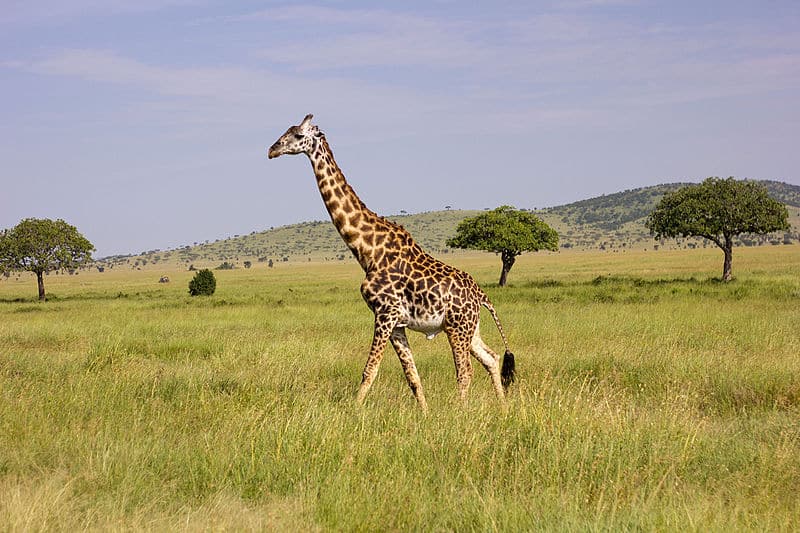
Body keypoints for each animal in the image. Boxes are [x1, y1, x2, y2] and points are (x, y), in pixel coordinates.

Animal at [268, 114, 515, 410]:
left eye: (296, 135)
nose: (271, 150)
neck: (367, 251)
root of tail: (481, 294)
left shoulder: (385, 314)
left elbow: (369, 370)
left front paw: (354, 411)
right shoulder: (396, 323)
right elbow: (412, 376)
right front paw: (424, 414)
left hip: (458, 327)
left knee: (465, 371)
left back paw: (461, 412)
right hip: (468, 328)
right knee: (492, 358)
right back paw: (503, 408)